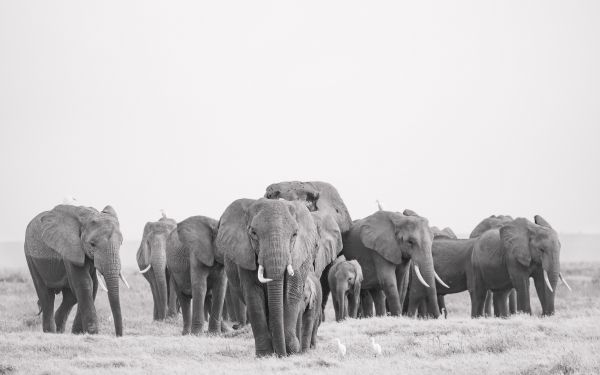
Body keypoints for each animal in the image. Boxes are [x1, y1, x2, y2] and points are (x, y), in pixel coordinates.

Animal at [24, 206, 127, 338]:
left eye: (121, 243)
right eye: (92, 244)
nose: (118, 335)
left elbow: (93, 286)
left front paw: (79, 334)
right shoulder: (70, 249)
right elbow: (85, 283)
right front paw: (92, 333)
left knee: (70, 298)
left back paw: (60, 332)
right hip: (31, 257)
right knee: (46, 296)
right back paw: (51, 333)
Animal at [216, 198, 340, 356]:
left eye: (295, 234)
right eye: (253, 233)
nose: (282, 354)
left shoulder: (298, 255)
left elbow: (291, 294)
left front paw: (291, 350)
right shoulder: (245, 256)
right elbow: (253, 296)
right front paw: (265, 355)